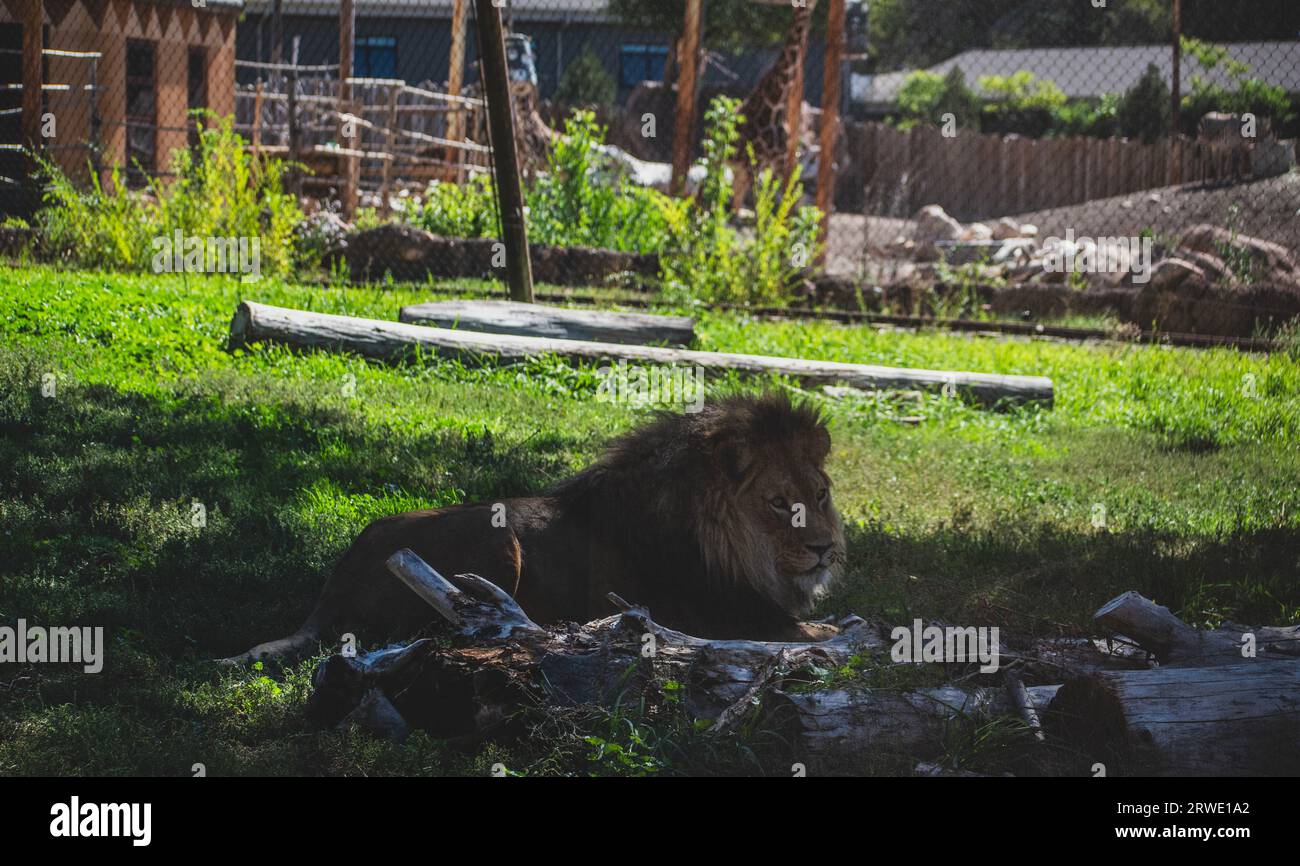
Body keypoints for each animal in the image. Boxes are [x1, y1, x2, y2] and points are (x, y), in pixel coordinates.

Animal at [224, 393, 846, 664]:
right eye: (778, 503)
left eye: (820, 495)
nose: (825, 550)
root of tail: (342, 568)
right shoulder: (725, 618)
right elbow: (824, 632)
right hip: (494, 539)